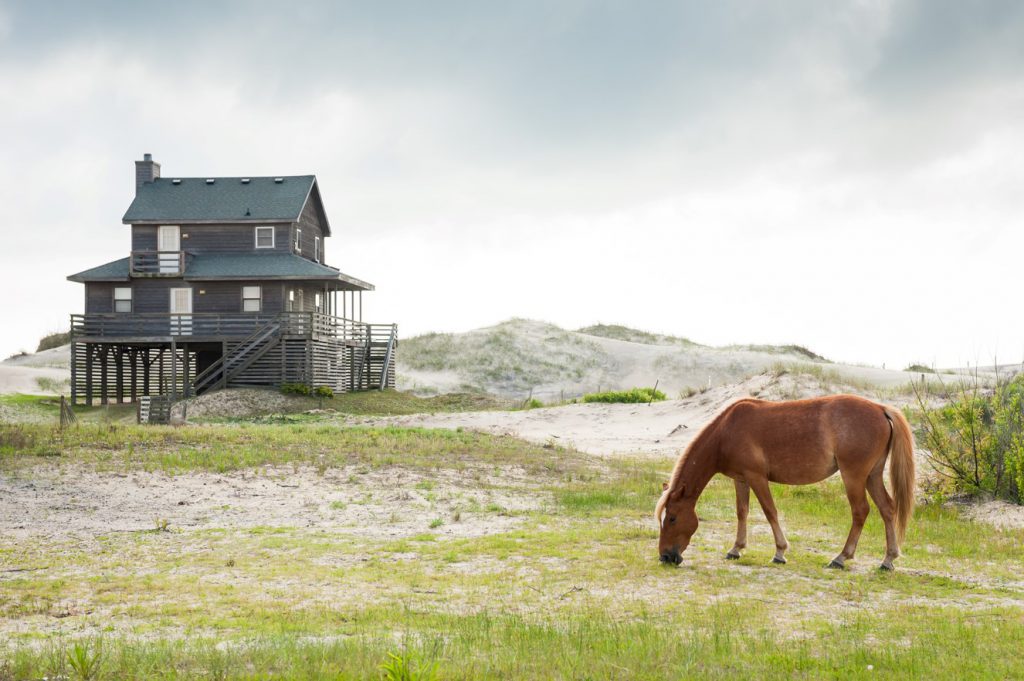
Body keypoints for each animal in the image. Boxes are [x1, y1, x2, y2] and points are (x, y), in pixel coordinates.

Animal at [659, 393, 917, 569]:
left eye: (672, 518)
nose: (665, 556)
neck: (726, 431)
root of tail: (880, 408)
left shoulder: (757, 478)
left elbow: (769, 511)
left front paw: (780, 552)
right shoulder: (741, 480)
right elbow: (742, 512)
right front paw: (736, 548)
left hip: (853, 476)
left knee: (861, 511)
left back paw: (841, 557)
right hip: (872, 476)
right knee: (887, 508)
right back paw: (888, 559)